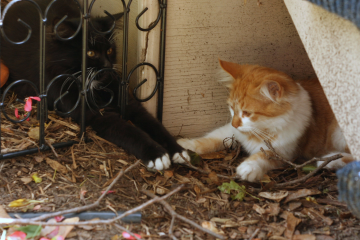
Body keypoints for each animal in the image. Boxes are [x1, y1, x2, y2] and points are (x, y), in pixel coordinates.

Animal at [0, 0, 190, 169]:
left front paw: (177, 150)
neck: (94, 85)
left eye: (110, 50)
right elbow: (130, 131)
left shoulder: (128, 101)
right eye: (90, 53)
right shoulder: (92, 113)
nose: (107, 65)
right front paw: (157, 154)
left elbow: (154, 124)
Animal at [179, 59, 352, 182]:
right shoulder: (230, 132)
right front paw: (185, 149)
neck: (262, 129)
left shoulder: (285, 153)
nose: (235, 123)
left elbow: (264, 156)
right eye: (232, 108)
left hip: (338, 133)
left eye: (247, 113)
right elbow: (208, 140)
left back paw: (331, 161)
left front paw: (248, 167)